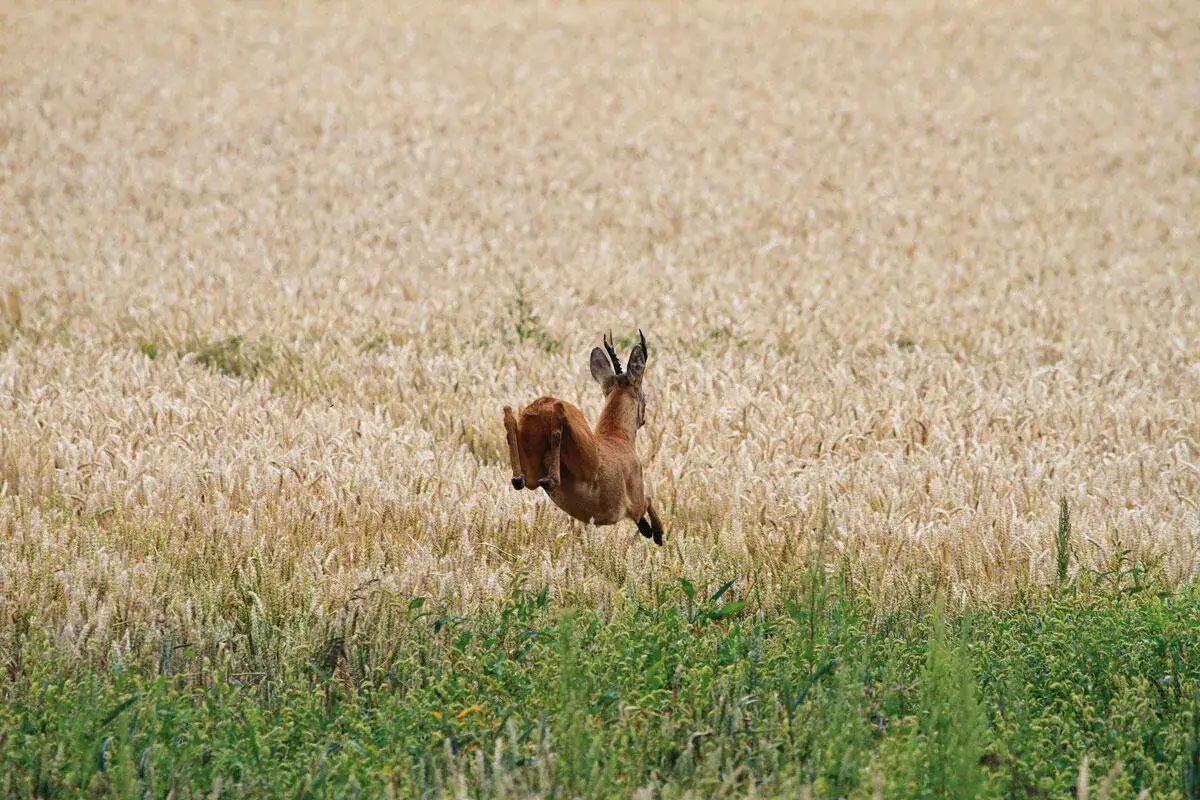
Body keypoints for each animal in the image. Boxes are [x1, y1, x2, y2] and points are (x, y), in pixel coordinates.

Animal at [503, 331, 665, 546]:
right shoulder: (635, 499)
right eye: (644, 396)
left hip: (531, 466)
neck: (619, 437)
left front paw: (649, 530)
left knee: (512, 429)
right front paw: (657, 533)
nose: (643, 419)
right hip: (583, 459)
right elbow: (648, 499)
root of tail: (539, 408)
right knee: (559, 419)